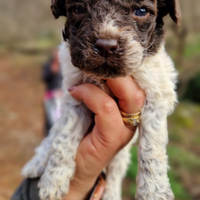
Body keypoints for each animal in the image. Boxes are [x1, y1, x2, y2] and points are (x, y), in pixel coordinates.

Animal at [21, 0, 181, 200]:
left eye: (141, 11)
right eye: (78, 9)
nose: (106, 46)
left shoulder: (157, 93)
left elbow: (152, 148)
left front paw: (153, 191)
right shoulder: (75, 94)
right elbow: (63, 137)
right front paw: (53, 180)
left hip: (121, 157)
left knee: (114, 173)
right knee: (54, 134)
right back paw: (37, 162)